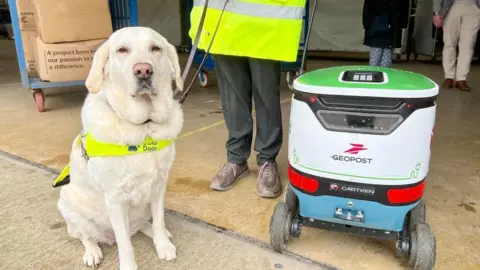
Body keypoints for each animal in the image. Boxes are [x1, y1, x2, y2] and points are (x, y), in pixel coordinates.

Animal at [55, 26, 184, 270]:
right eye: (122, 50)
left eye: (156, 48)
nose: (143, 70)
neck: (144, 127)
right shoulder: (115, 198)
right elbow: (125, 244)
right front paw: (129, 265)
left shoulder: (159, 185)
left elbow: (159, 220)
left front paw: (162, 245)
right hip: (69, 204)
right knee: (87, 236)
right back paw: (92, 252)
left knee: (143, 225)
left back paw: (159, 234)